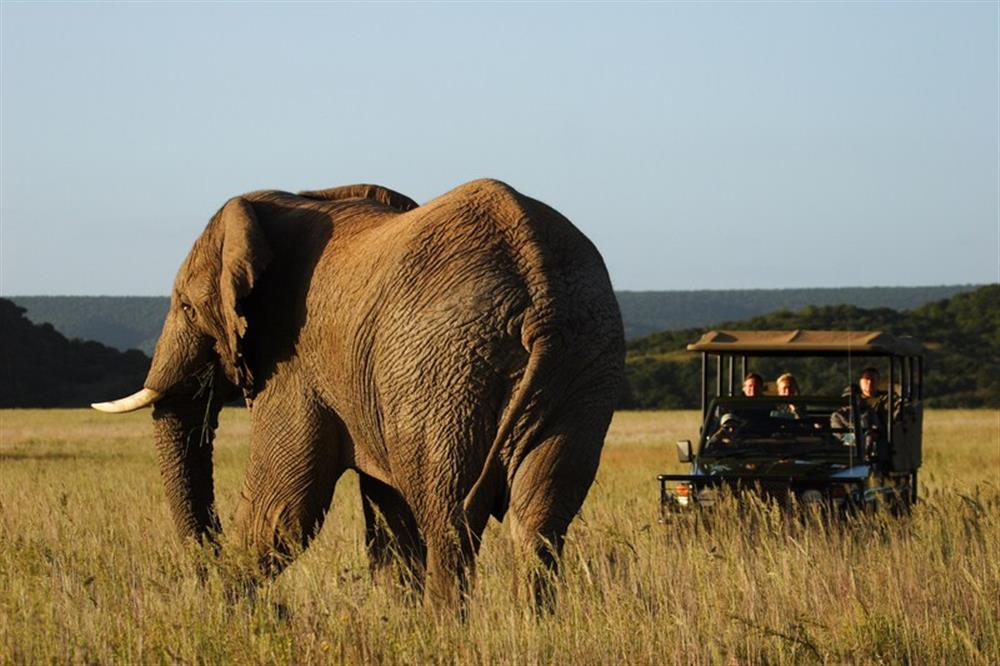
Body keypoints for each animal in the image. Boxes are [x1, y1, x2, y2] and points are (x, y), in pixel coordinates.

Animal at [94, 178, 624, 608]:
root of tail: (538, 288)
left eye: (186, 306)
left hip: (442, 369)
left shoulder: (296, 362)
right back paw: (532, 626)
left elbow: (282, 509)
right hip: (579, 364)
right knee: (539, 519)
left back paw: (445, 632)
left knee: (449, 519)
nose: (205, 568)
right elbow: (387, 518)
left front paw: (227, 616)